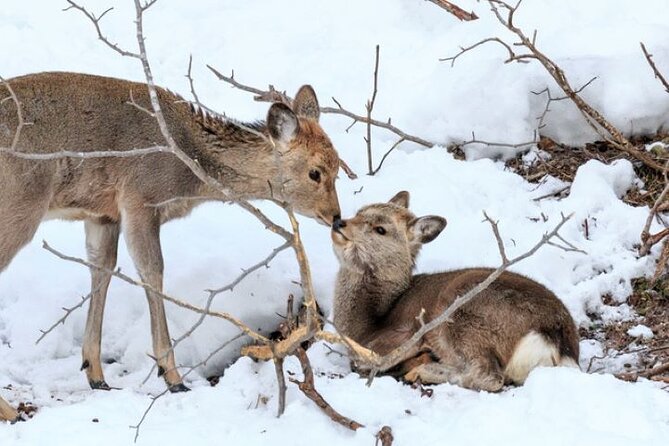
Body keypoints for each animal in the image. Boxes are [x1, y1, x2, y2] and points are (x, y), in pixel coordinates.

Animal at [0, 72, 342, 422]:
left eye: (339, 168)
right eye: (315, 172)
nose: (336, 217)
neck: (189, 166)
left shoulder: (103, 214)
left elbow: (102, 268)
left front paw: (95, 374)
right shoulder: (140, 199)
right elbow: (153, 272)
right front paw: (173, 377)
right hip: (19, 204)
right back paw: (11, 412)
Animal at [332, 191, 576, 390]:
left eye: (380, 229)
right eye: (359, 212)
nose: (338, 223)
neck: (366, 323)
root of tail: (554, 340)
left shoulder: (398, 336)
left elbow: (368, 361)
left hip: (460, 315)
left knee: (490, 376)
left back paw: (422, 372)